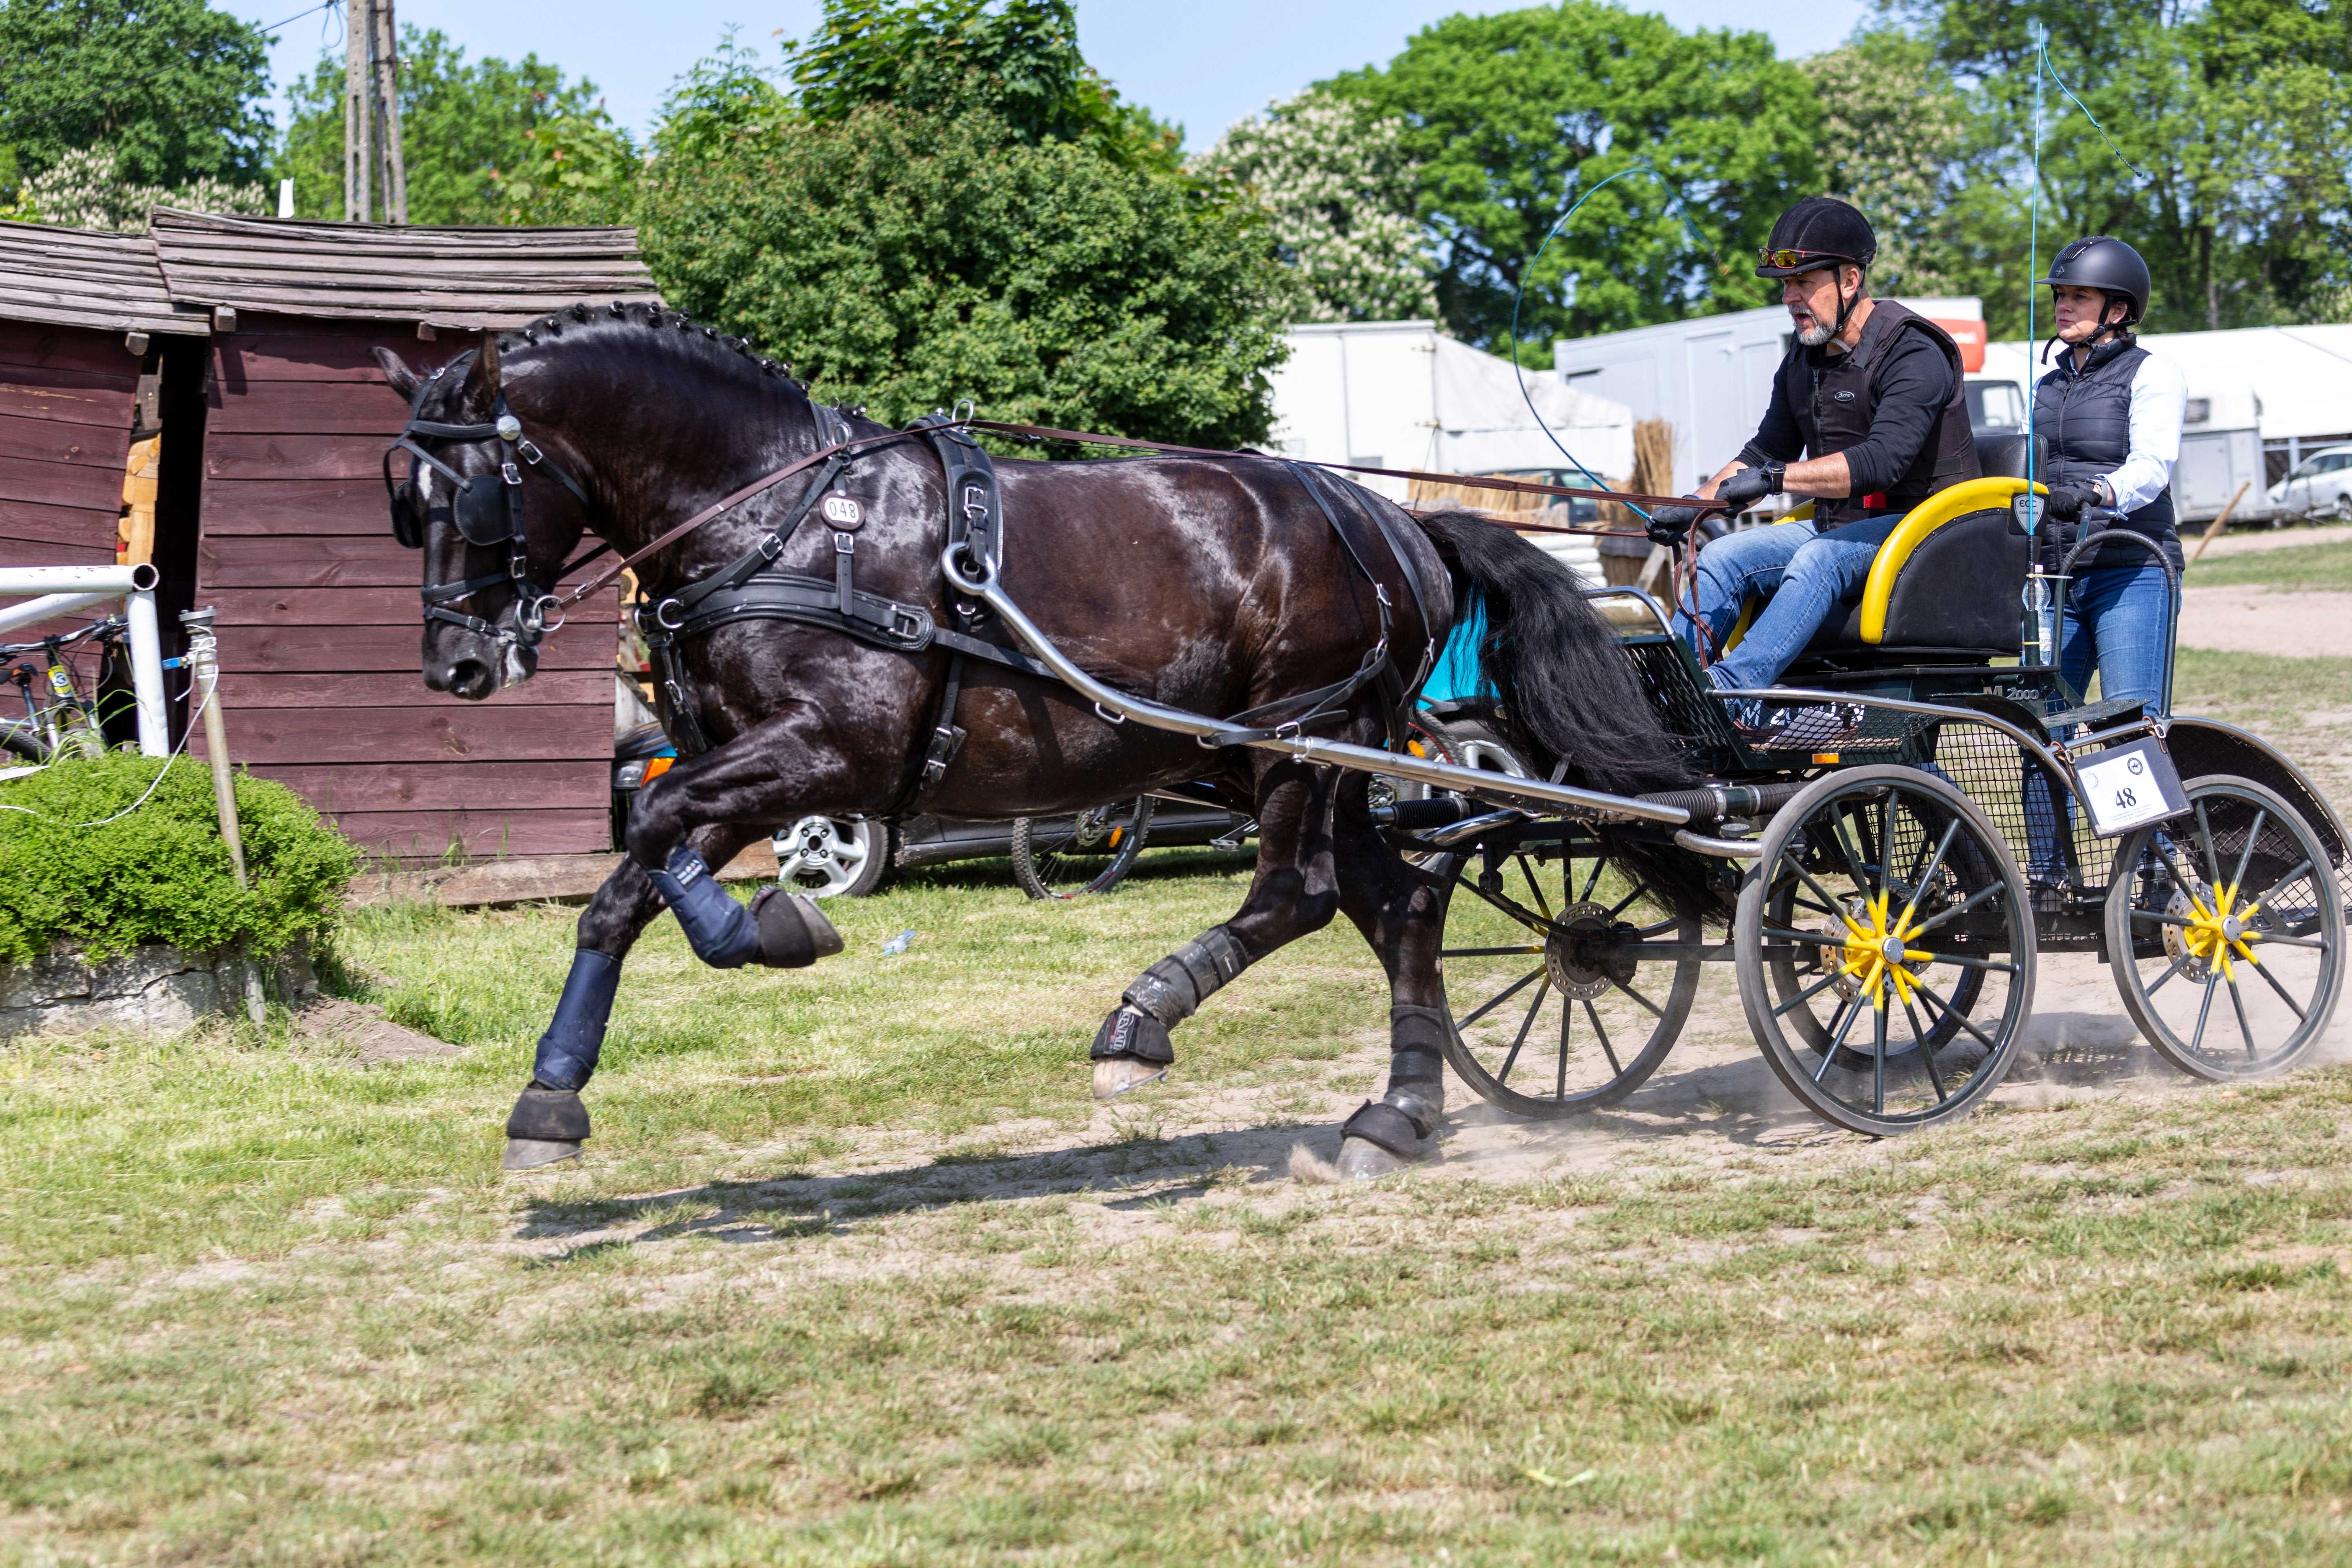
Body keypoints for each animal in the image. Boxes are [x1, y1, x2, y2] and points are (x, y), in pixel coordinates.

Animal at [372, 310, 1693, 1175]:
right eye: (403, 502)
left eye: (474, 491)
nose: (459, 665)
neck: (782, 517)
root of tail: (1391, 517)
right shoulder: (746, 763)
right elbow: (630, 875)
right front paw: (551, 1095)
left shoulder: (831, 751)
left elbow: (653, 828)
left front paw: (773, 930)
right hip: (1295, 759)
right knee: (1403, 903)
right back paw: (1399, 1114)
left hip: (1299, 738)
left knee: (1297, 893)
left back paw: (1143, 1020)